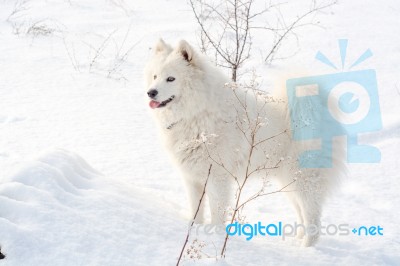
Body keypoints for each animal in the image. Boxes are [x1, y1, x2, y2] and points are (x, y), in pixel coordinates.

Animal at [144, 38, 344, 246]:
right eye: (155, 76)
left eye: (171, 78)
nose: (151, 92)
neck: (197, 113)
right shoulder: (192, 178)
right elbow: (196, 211)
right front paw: (194, 229)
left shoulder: (218, 178)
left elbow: (217, 211)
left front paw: (215, 236)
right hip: (289, 182)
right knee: (301, 213)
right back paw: (296, 239)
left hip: (305, 180)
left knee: (313, 218)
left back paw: (306, 247)